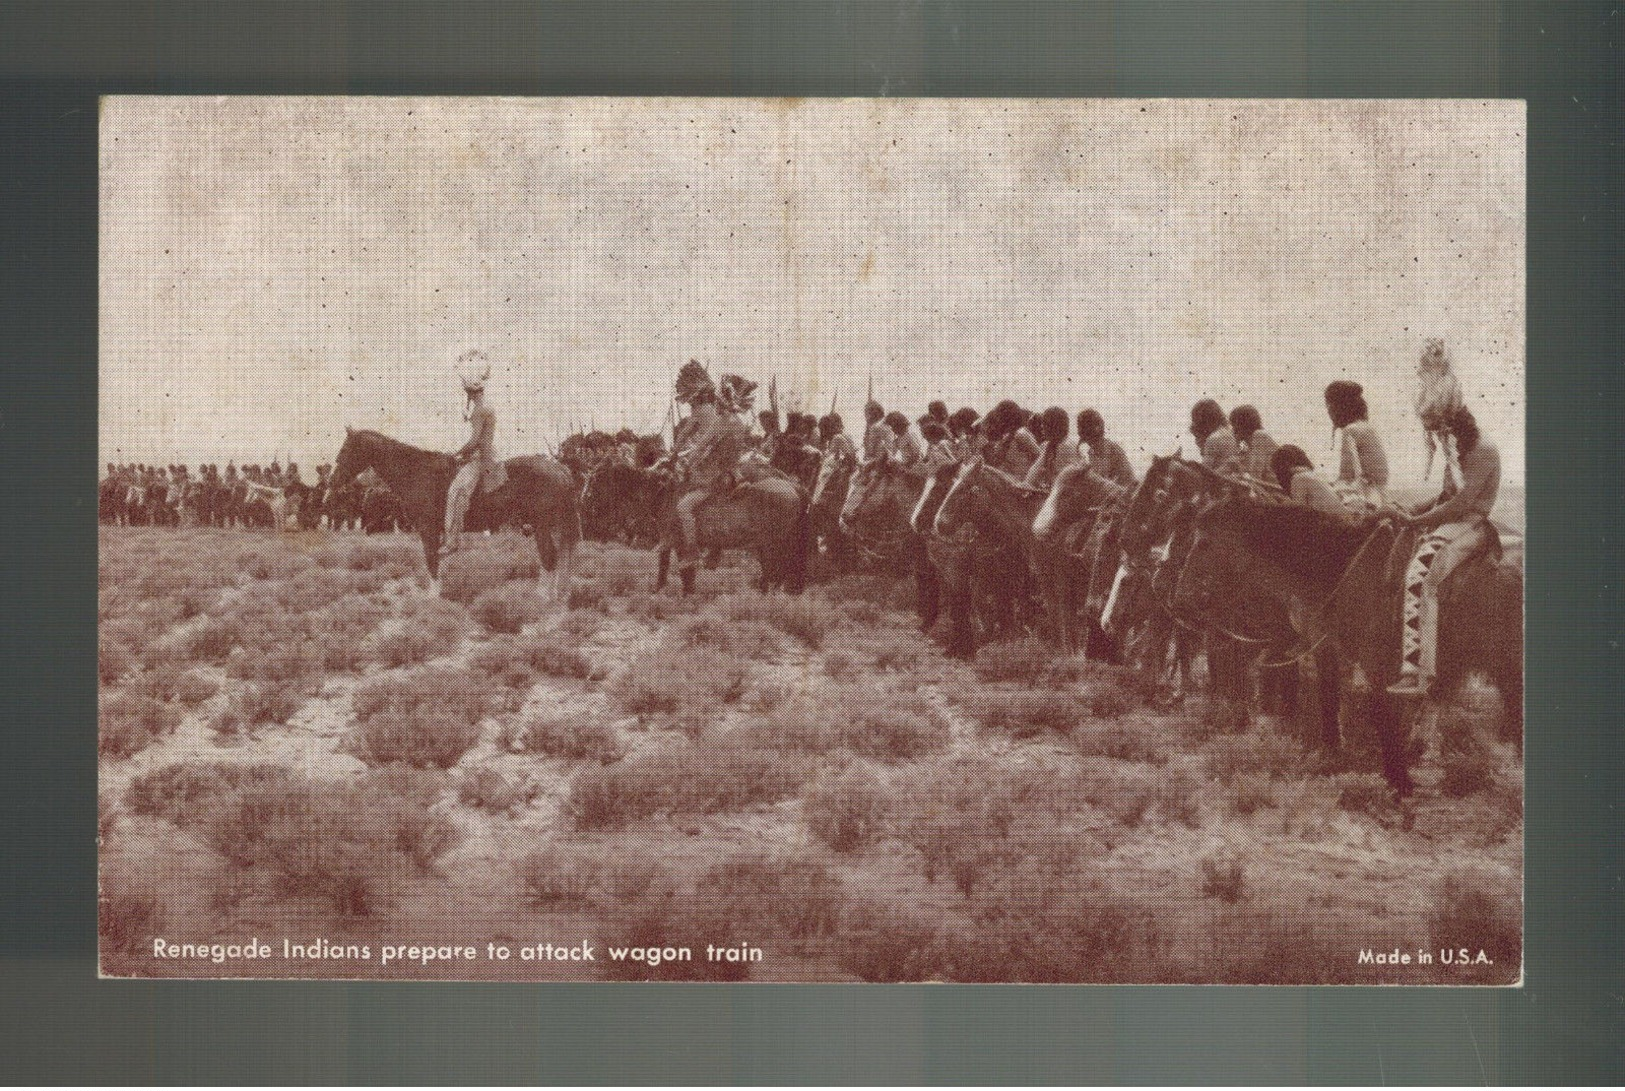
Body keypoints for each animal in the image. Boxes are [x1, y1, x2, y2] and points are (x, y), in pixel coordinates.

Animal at [329, 425, 585, 601]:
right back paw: (558, 594)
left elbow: (431, 559)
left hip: (542, 524)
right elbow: (436, 560)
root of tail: (560, 469)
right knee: (560, 555)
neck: (418, 471)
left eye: (346, 449)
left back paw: (542, 596)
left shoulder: (427, 529)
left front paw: (433, 596)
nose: (333, 481)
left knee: (549, 556)